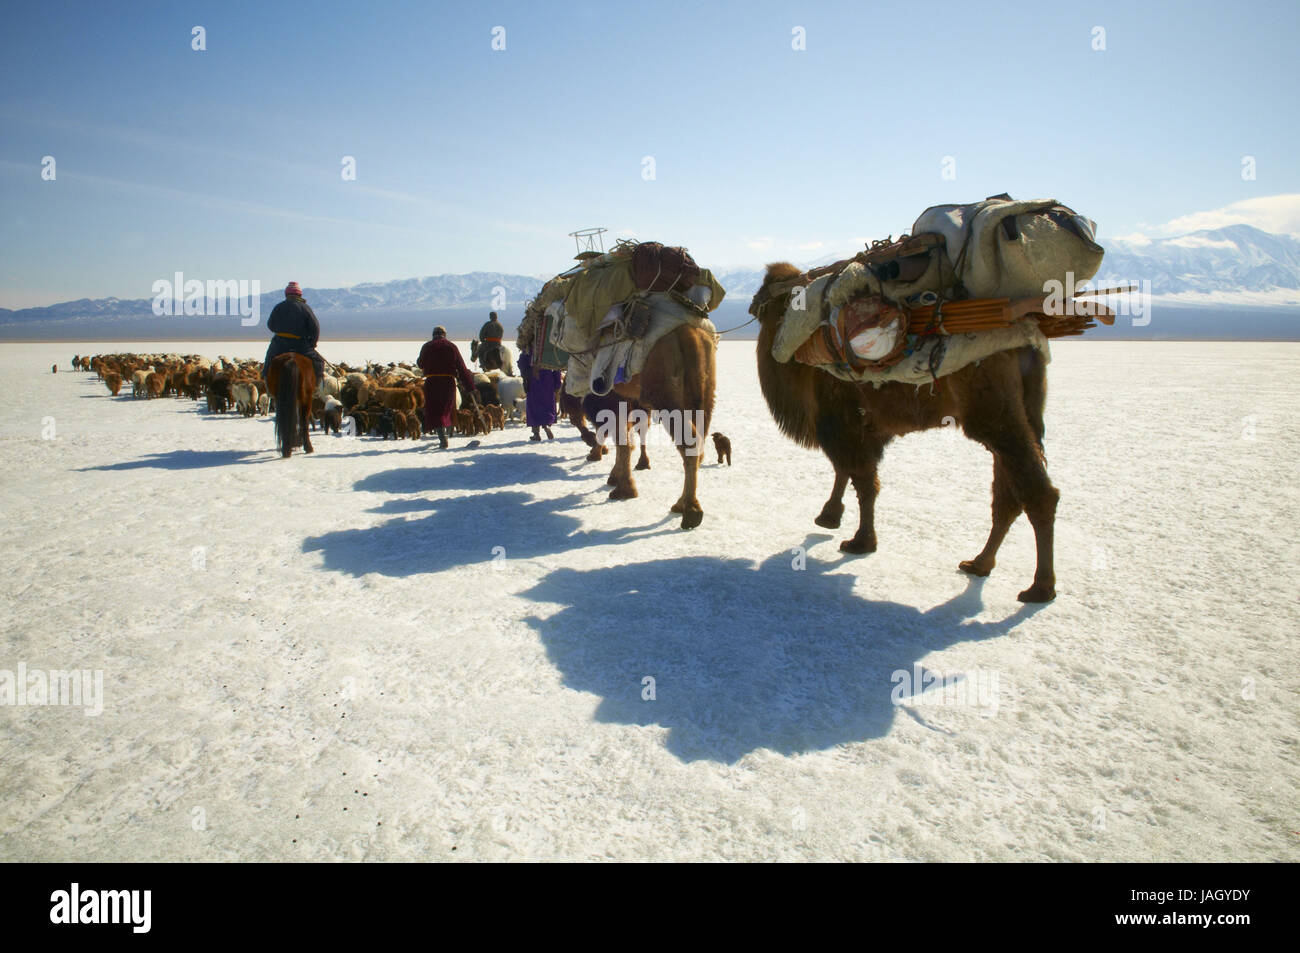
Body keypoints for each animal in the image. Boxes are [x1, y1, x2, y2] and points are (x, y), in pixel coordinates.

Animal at [595, 319, 717, 527]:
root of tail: (689, 335)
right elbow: (624, 437)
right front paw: (620, 481)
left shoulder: (609, 391)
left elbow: (621, 438)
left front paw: (622, 488)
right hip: (706, 392)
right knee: (699, 443)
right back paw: (681, 504)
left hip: (664, 392)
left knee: (689, 443)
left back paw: (690, 511)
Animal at [754, 260, 1055, 603]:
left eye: (766, 293)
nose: (753, 305)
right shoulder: (868, 429)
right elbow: (856, 476)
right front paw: (833, 519)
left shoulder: (842, 421)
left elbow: (861, 480)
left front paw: (858, 540)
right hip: (1024, 412)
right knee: (1007, 495)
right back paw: (979, 563)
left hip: (995, 415)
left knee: (1037, 492)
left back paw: (1039, 587)